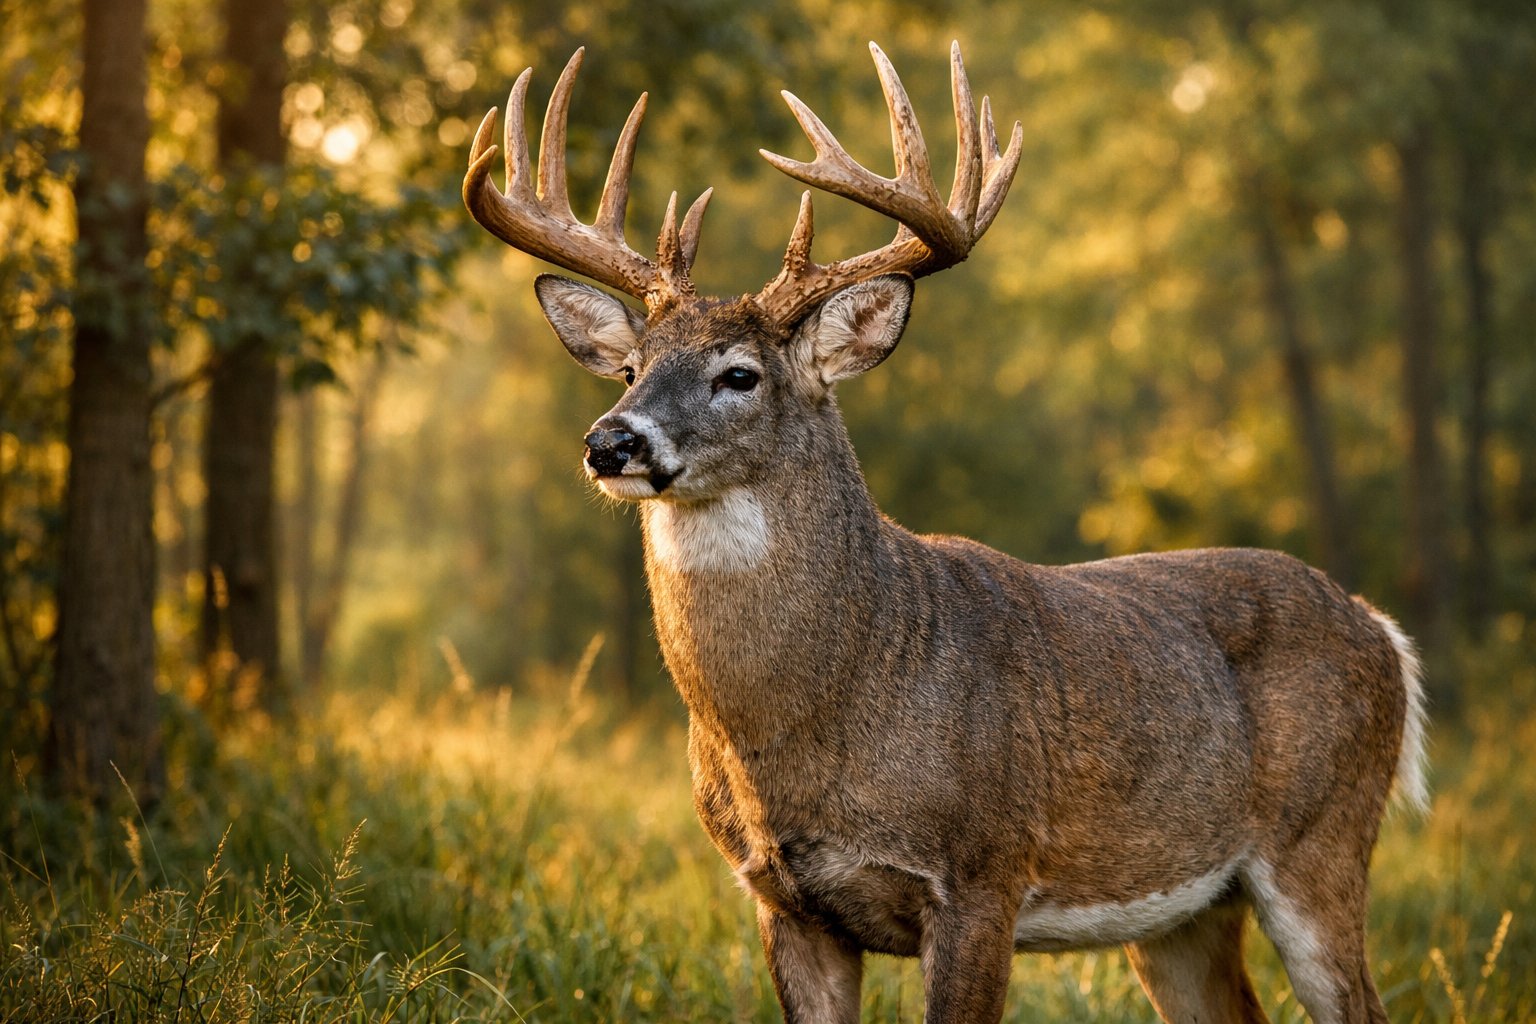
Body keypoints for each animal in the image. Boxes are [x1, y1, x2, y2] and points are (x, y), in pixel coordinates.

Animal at [462, 41, 1428, 1024]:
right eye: (629, 368)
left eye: (739, 375)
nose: (609, 441)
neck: (810, 720)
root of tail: (1380, 628)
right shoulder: (781, 899)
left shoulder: (983, 873)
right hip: (1183, 913)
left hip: (1322, 840)